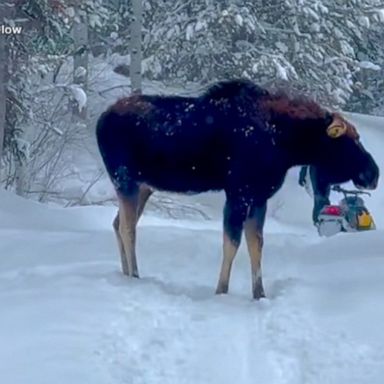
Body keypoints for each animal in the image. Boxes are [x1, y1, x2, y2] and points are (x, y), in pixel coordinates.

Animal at [96, 79, 378, 298]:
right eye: (351, 140)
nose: (373, 173)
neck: (287, 145)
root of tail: (100, 120)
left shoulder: (259, 196)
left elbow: (256, 244)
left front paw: (259, 293)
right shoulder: (238, 192)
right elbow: (231, 242)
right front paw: (221, 290)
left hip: (144, 185)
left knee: (117, 223)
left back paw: (126, 272)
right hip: (125, 179)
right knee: (128, 228)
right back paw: (134, 275)